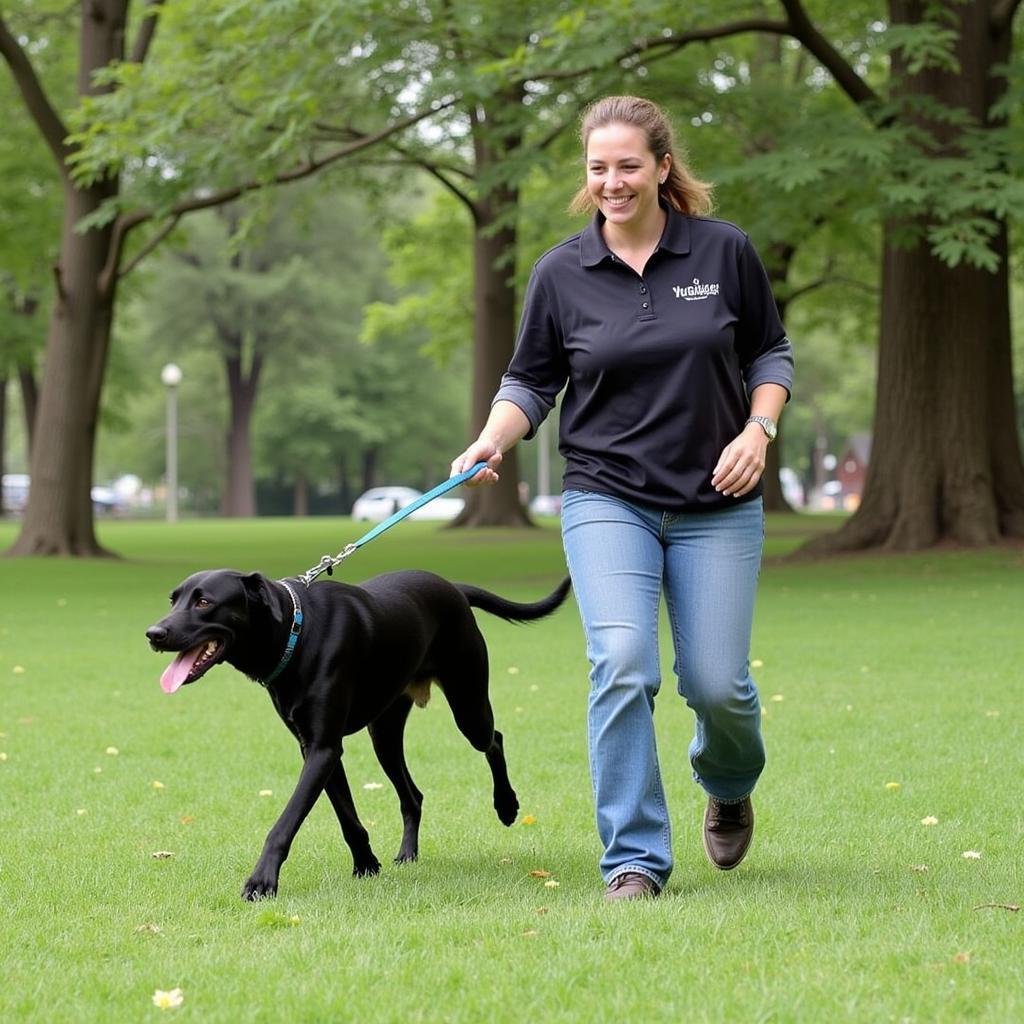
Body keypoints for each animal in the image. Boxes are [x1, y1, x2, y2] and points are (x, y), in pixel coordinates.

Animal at [146, 573, 569, 901]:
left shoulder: (324, 749)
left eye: (204, 602)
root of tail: (452, 586)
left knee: (494, 738)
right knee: (413, 795)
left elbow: (285, 823)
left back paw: (506, 805)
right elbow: (347, 816)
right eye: (174, 599)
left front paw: (261, 882)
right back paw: (407, 854)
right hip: (385, 733)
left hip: (468, 705)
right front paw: (366, 864)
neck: (295, 633)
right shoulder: (317, 749)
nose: (154, 633)